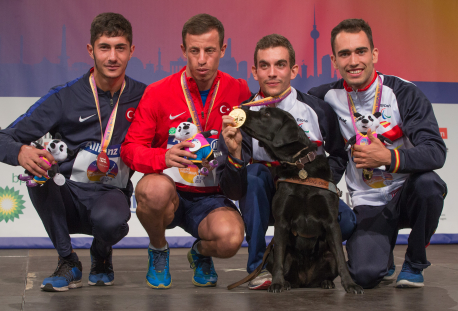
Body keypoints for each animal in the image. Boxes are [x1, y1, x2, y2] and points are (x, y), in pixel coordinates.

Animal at [242, 106, 364, 294]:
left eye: (267, 113)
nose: (242, 108)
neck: (299, 164)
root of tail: (305, 280)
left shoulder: (331, 222)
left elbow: (342, 259)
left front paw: (350, 285)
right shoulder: (281, 221)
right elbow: (279, 259)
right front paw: (277, 284)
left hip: (328, 256)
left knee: (329, 267)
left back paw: (326, 282)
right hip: (272, 254)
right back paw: (287, 283)